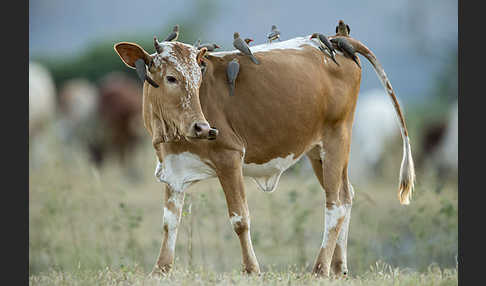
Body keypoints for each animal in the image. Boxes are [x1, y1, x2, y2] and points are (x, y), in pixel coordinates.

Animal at [114, 33, 414, 278]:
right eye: (171, 78)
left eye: (198, 79)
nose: (202, 127)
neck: (171, 136)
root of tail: (334, 39)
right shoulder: (174, 170)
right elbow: (170, 221)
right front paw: (161, 269)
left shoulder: (229, 158)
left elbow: (239, 218)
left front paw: (251, 269)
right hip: (318, 150)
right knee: (346, 194)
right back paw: (338, 268)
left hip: (337, 138)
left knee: (336, 204)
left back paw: (320, 268)